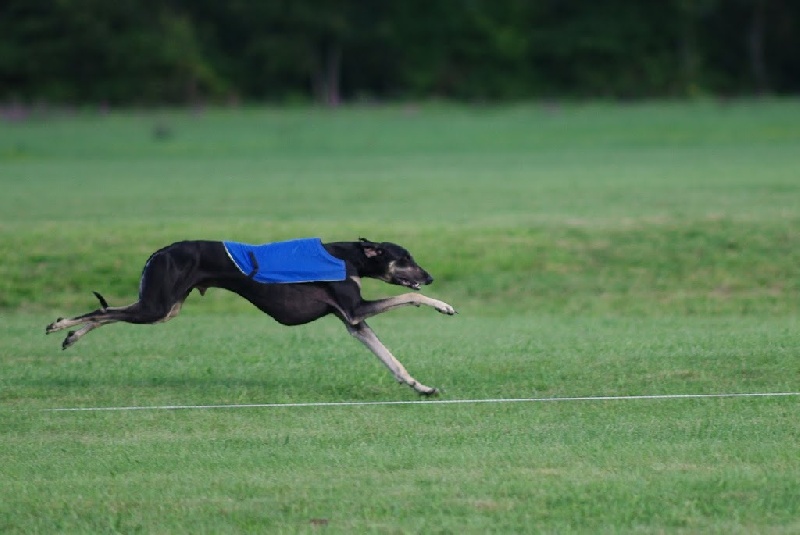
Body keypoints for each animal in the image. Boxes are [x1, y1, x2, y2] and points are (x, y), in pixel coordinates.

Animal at [47, 239, 454, 394]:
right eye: (405, 258)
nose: (430, 276)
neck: (347, 256)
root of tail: (159, 252)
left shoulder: (352, 321)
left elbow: (391, 360)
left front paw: (420, 387)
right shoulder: (355, 308)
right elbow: (409, 296)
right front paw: (443, 304)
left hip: (165, 308)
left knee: (107, 312)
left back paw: (70, 336)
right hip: (156, 307)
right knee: (102, 310)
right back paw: (60, 325)